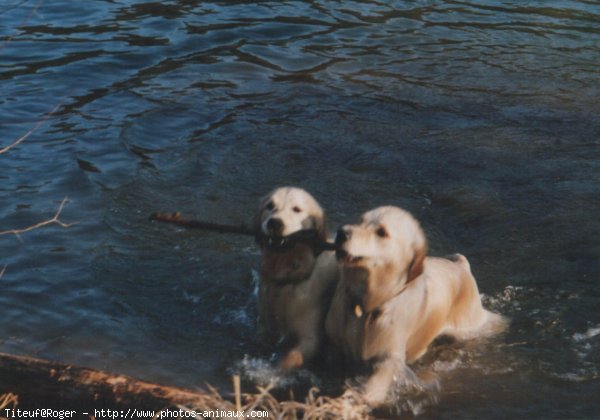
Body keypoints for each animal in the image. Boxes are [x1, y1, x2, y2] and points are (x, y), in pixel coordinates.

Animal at [253, 185, 338, 370]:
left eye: (297, 209)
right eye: (270, 206)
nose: (274, 223)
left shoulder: (311, 338)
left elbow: (291, 357)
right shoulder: (265, 329)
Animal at [326, 205, 504, 406]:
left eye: (381, 232)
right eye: (360, 220)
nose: (342, 232)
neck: (367, 307)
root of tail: (461, 265)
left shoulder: (389, 357)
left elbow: (376, 383)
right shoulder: (336, 344)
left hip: (469, 326)